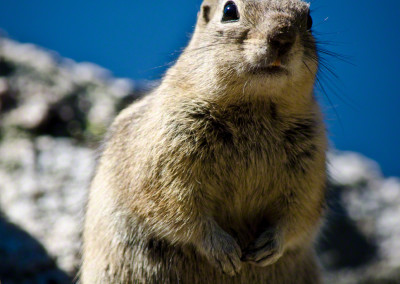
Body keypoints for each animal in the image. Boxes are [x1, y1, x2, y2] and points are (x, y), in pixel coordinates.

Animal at [82, 1, 328, 282]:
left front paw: (267, 247)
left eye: (309, 20)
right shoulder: (168, 157)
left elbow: (299, 216)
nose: (283, 36)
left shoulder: (310, 168)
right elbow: (181, 210)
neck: (255, 105)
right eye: (229, 10)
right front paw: (225, 252)